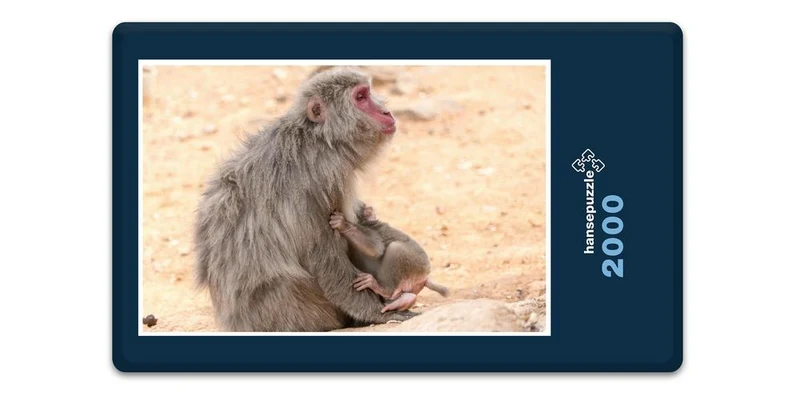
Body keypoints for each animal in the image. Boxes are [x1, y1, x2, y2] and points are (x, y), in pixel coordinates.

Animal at [193, 67, 417, 332]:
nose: (386, 112)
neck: (320, 138)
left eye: (368, 92)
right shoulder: (324, 177)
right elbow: (324, 254)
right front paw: (376, 312)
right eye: (361, 97)